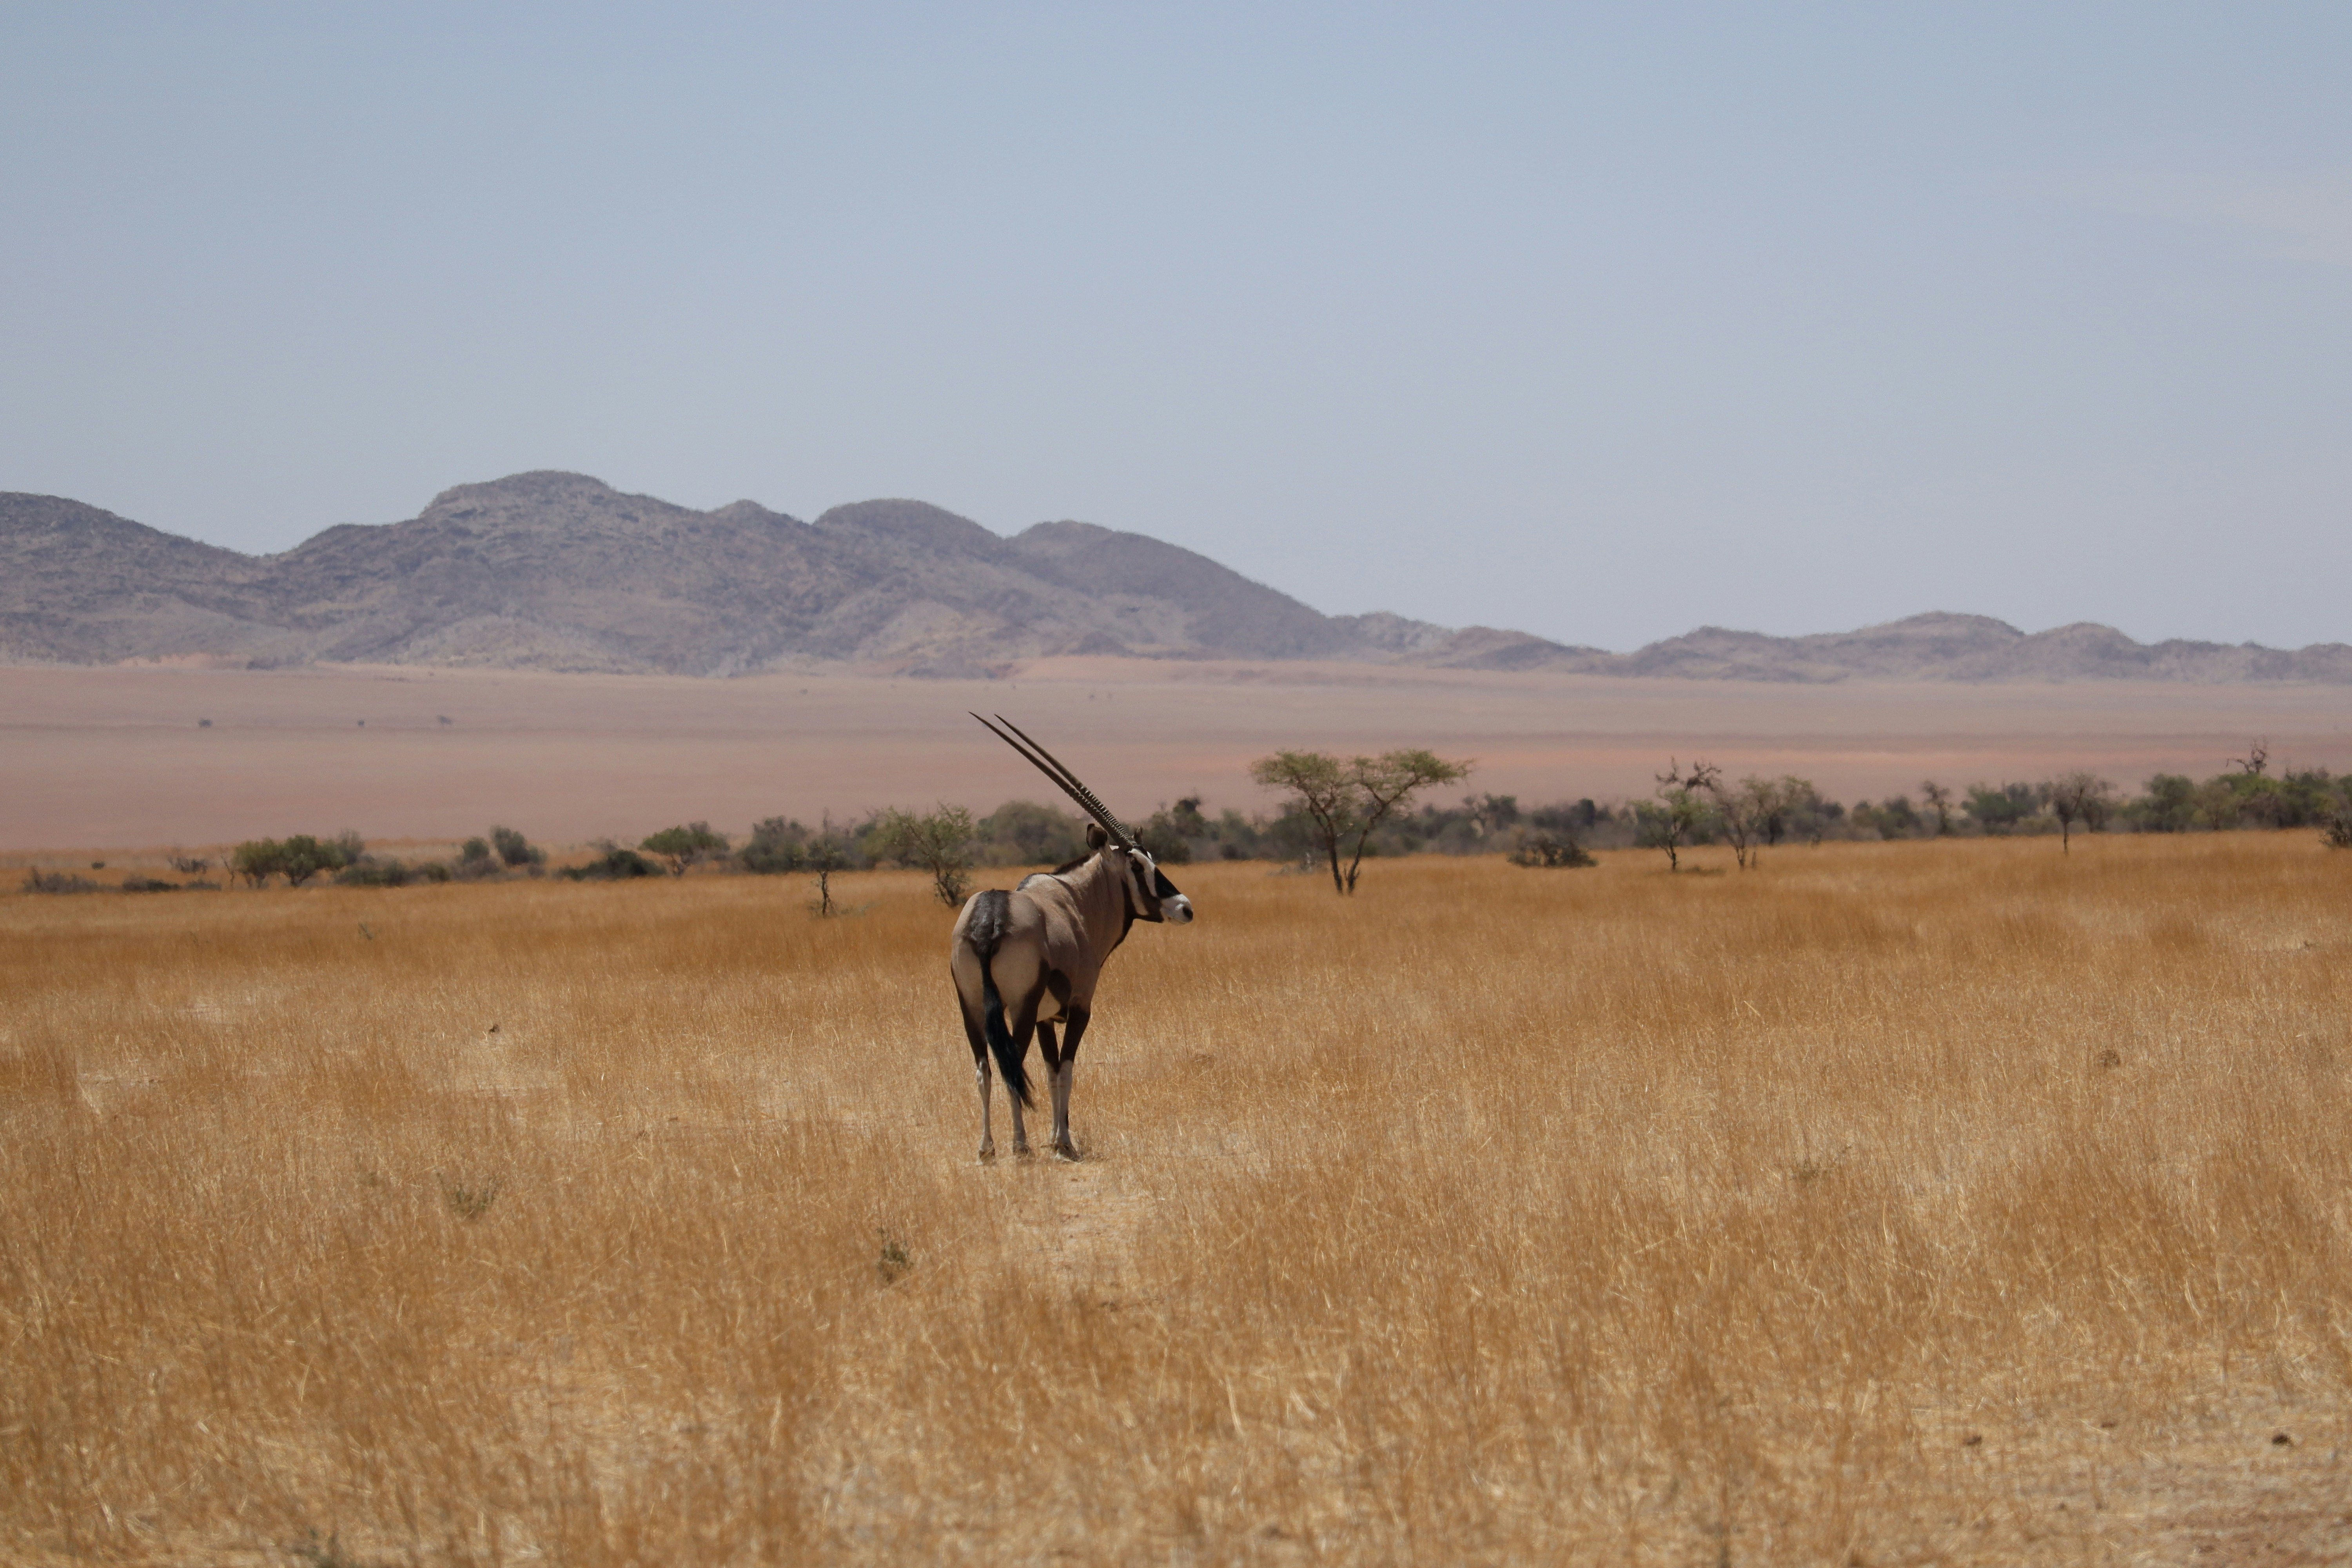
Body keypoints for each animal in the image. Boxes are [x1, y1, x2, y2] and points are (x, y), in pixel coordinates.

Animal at [951, 714, 1194, 1162]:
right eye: (1137, 865)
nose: (1184, 907)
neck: (1076, 901)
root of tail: (989, 917)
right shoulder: (1079, 1007)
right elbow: (1065, 1069)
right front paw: (1063, 1141)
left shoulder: (1047, 1016)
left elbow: (1049, 1072)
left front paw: (1054, 1136)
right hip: (1019, 1007)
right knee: (1012, 1065)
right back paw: (1019, 1145)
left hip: (971, 1007)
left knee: (984, 1068)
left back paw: (987, 1148)